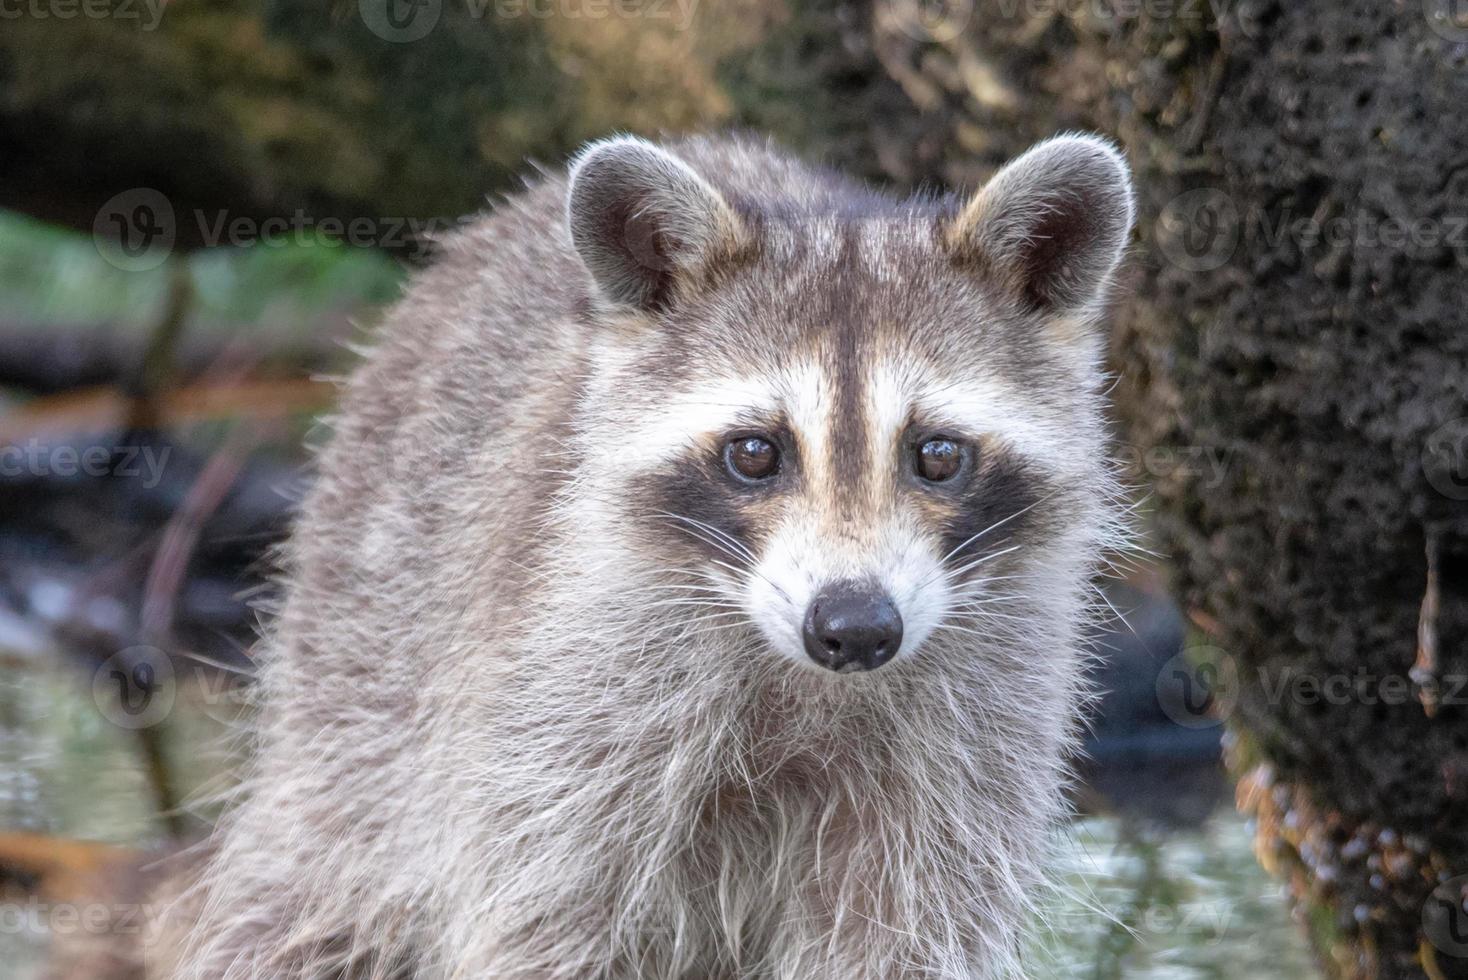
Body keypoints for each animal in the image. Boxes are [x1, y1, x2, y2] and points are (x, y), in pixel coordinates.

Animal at [157, 132, 1133, 979]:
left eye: (937, 455)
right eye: (755, 453)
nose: (854, 626)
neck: (804, 681)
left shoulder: (976, 738)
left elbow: (908, 933)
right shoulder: (557, 717)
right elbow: (543, 918)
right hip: (358, 656)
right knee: (310, 893)